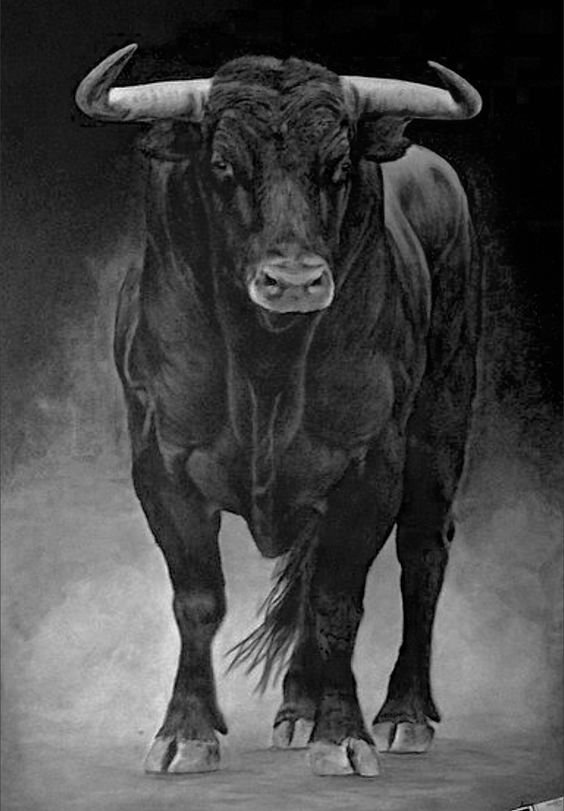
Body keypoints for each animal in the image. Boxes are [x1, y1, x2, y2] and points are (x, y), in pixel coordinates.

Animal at [76, 44, 482, 778]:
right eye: (222, 165)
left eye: (339, 167)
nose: (294, 280)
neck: (264, 364)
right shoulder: (160, 464)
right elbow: (198, 600)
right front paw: (186, 731)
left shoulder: (370, 464)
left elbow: (337, 601)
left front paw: (343, 733)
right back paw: (296, 707)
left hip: (442, 418)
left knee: (422, 552)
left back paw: (404, 713)